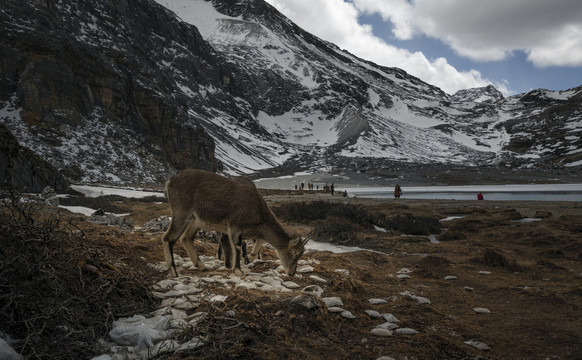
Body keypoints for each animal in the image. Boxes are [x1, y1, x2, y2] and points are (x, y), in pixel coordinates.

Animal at [162, 169, 312, 278]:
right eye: (295, 253)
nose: (291, 273)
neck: (258, 213)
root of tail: (170, 181)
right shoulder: (234, 226)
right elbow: (238, 247)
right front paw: (238, 270)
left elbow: (256, 241)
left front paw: (247, 259)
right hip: (181, 212)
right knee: (168, 238)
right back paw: (174, 272)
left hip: (195, 221)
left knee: (186, 238)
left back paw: (201, 266)